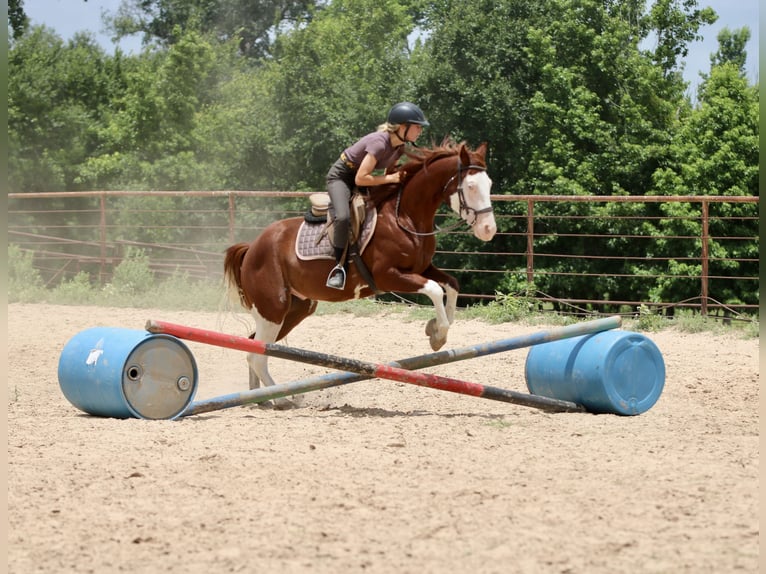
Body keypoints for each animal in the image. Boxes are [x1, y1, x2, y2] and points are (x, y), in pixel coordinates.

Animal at [223, 139, 497, 407]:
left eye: (490, 184)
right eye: (471, 186)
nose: (489, 230)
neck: (404, 216)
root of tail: (252, 247)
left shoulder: (422, 268)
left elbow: (451, 284)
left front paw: (438, 326)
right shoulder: (388, 276)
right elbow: (434, 289)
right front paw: (437, 333)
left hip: (296, 309)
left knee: (254, 344)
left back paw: (257, 399)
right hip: (274, 308)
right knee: (256, 355)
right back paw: (282, 399)